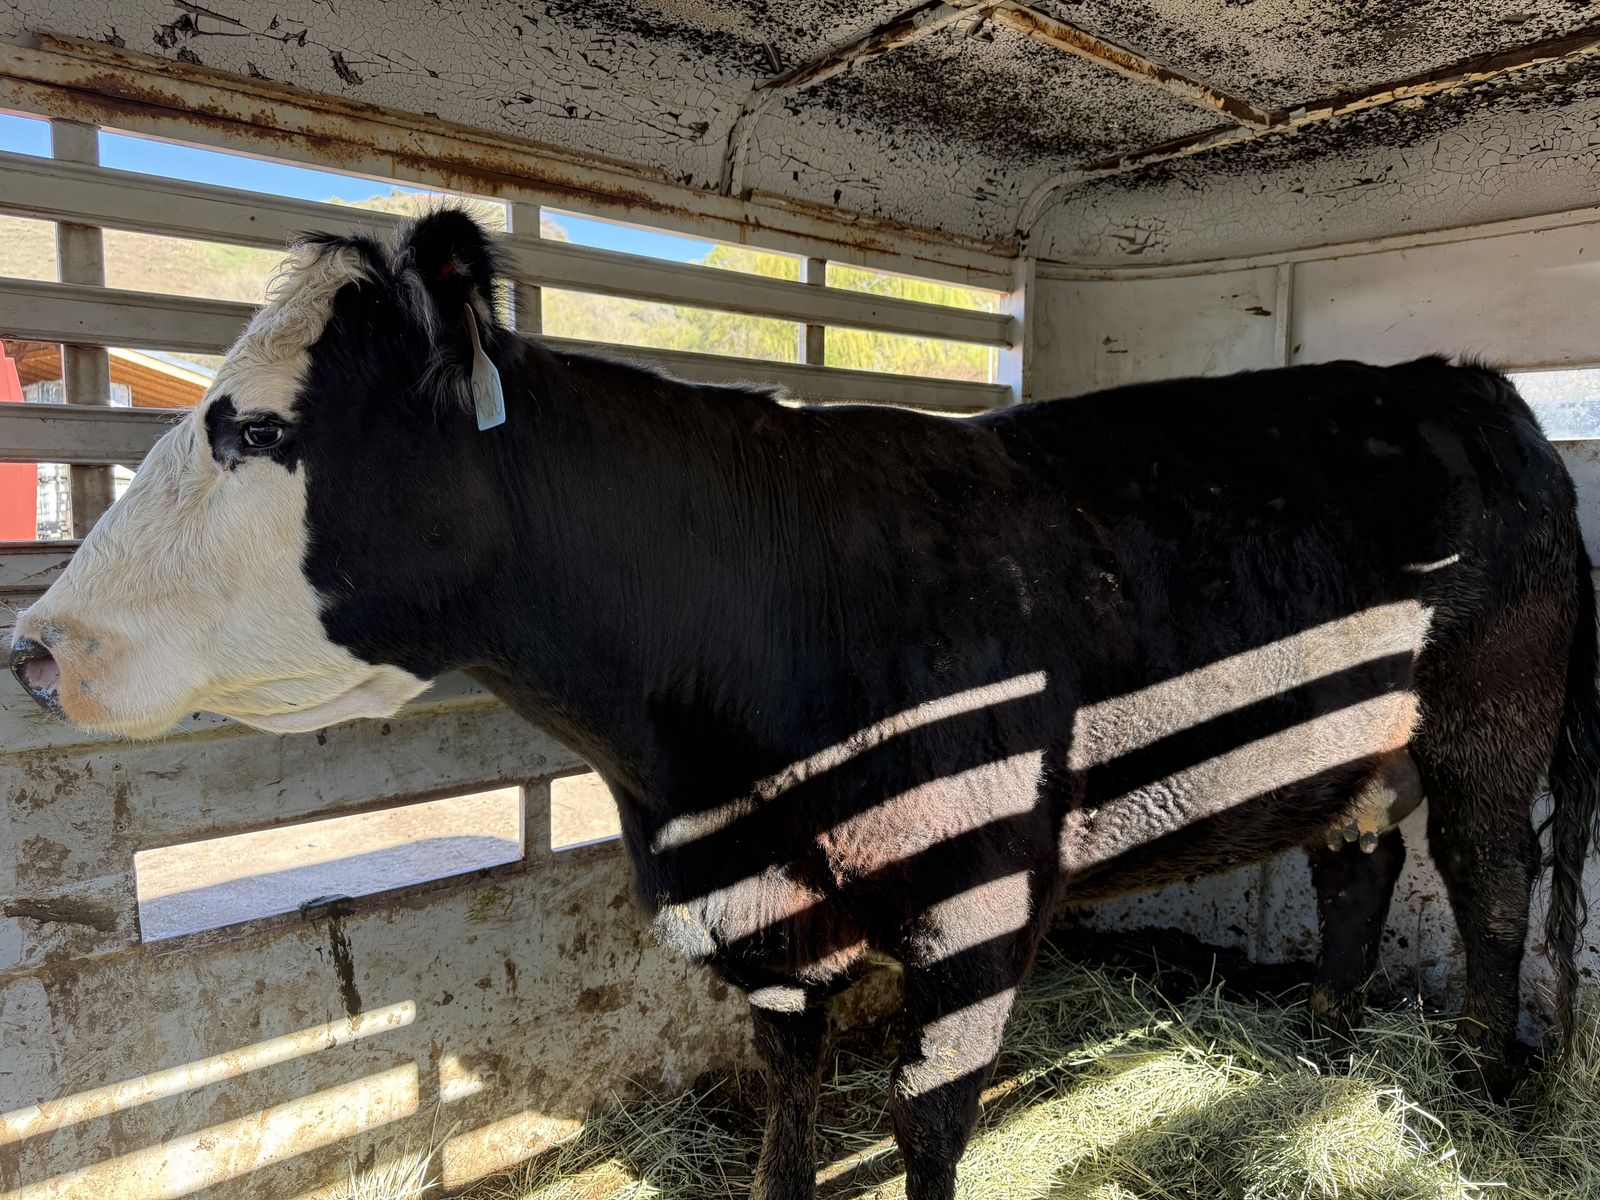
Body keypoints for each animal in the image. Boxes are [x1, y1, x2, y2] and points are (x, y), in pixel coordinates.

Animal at [9, 209, 1599, 1200]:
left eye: (256, 431)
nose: (36, 644)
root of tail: (1470, 386)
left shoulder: (977, 903)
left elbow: (929, 1119)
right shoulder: (765, 920)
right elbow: (787, 1099)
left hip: (1490, 727)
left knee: (1489, 890)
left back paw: (1469, 1096)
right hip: (1357, 754)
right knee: (1356, 870)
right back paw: (1326, 1054)